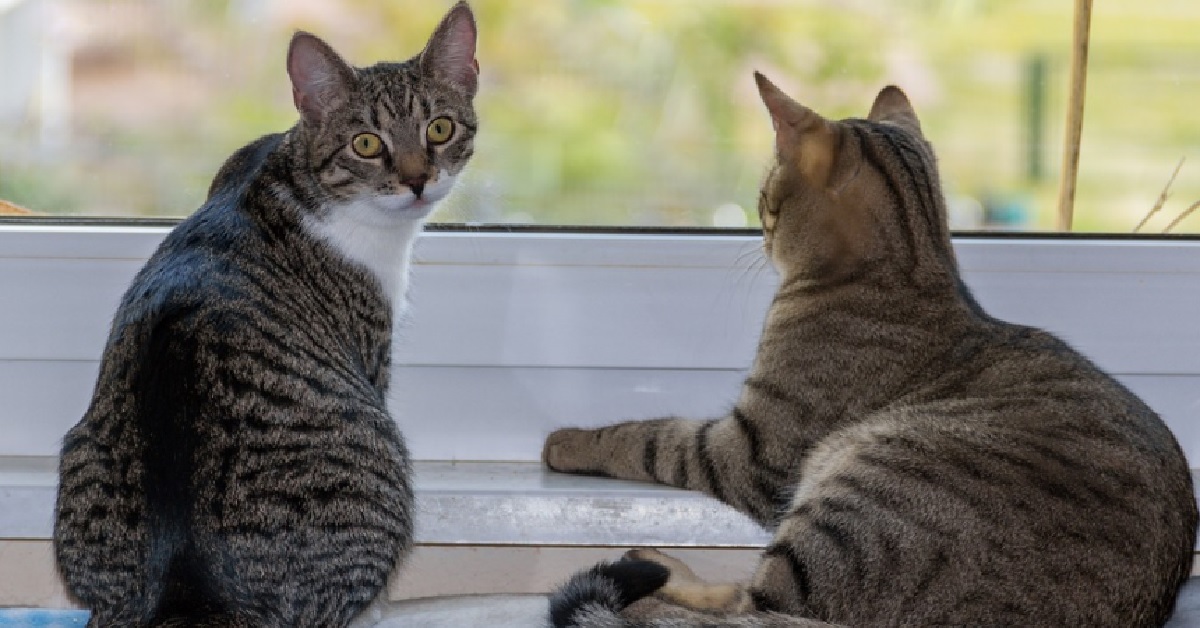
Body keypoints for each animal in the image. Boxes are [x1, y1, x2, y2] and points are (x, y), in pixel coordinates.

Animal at [54, 2, 477, 624]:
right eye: (367, 143)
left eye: (440, 129)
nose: (418, 179)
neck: (296, 178)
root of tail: (190, 589)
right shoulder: (372, 348)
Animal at [547, 75, 1200, 628]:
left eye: (764, 197)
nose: (760, 228)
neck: (909, 267)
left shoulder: (750, 448)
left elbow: (648, 436)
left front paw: (568, 441)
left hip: (864, 489)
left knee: (747, 606)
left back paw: (655, 577)